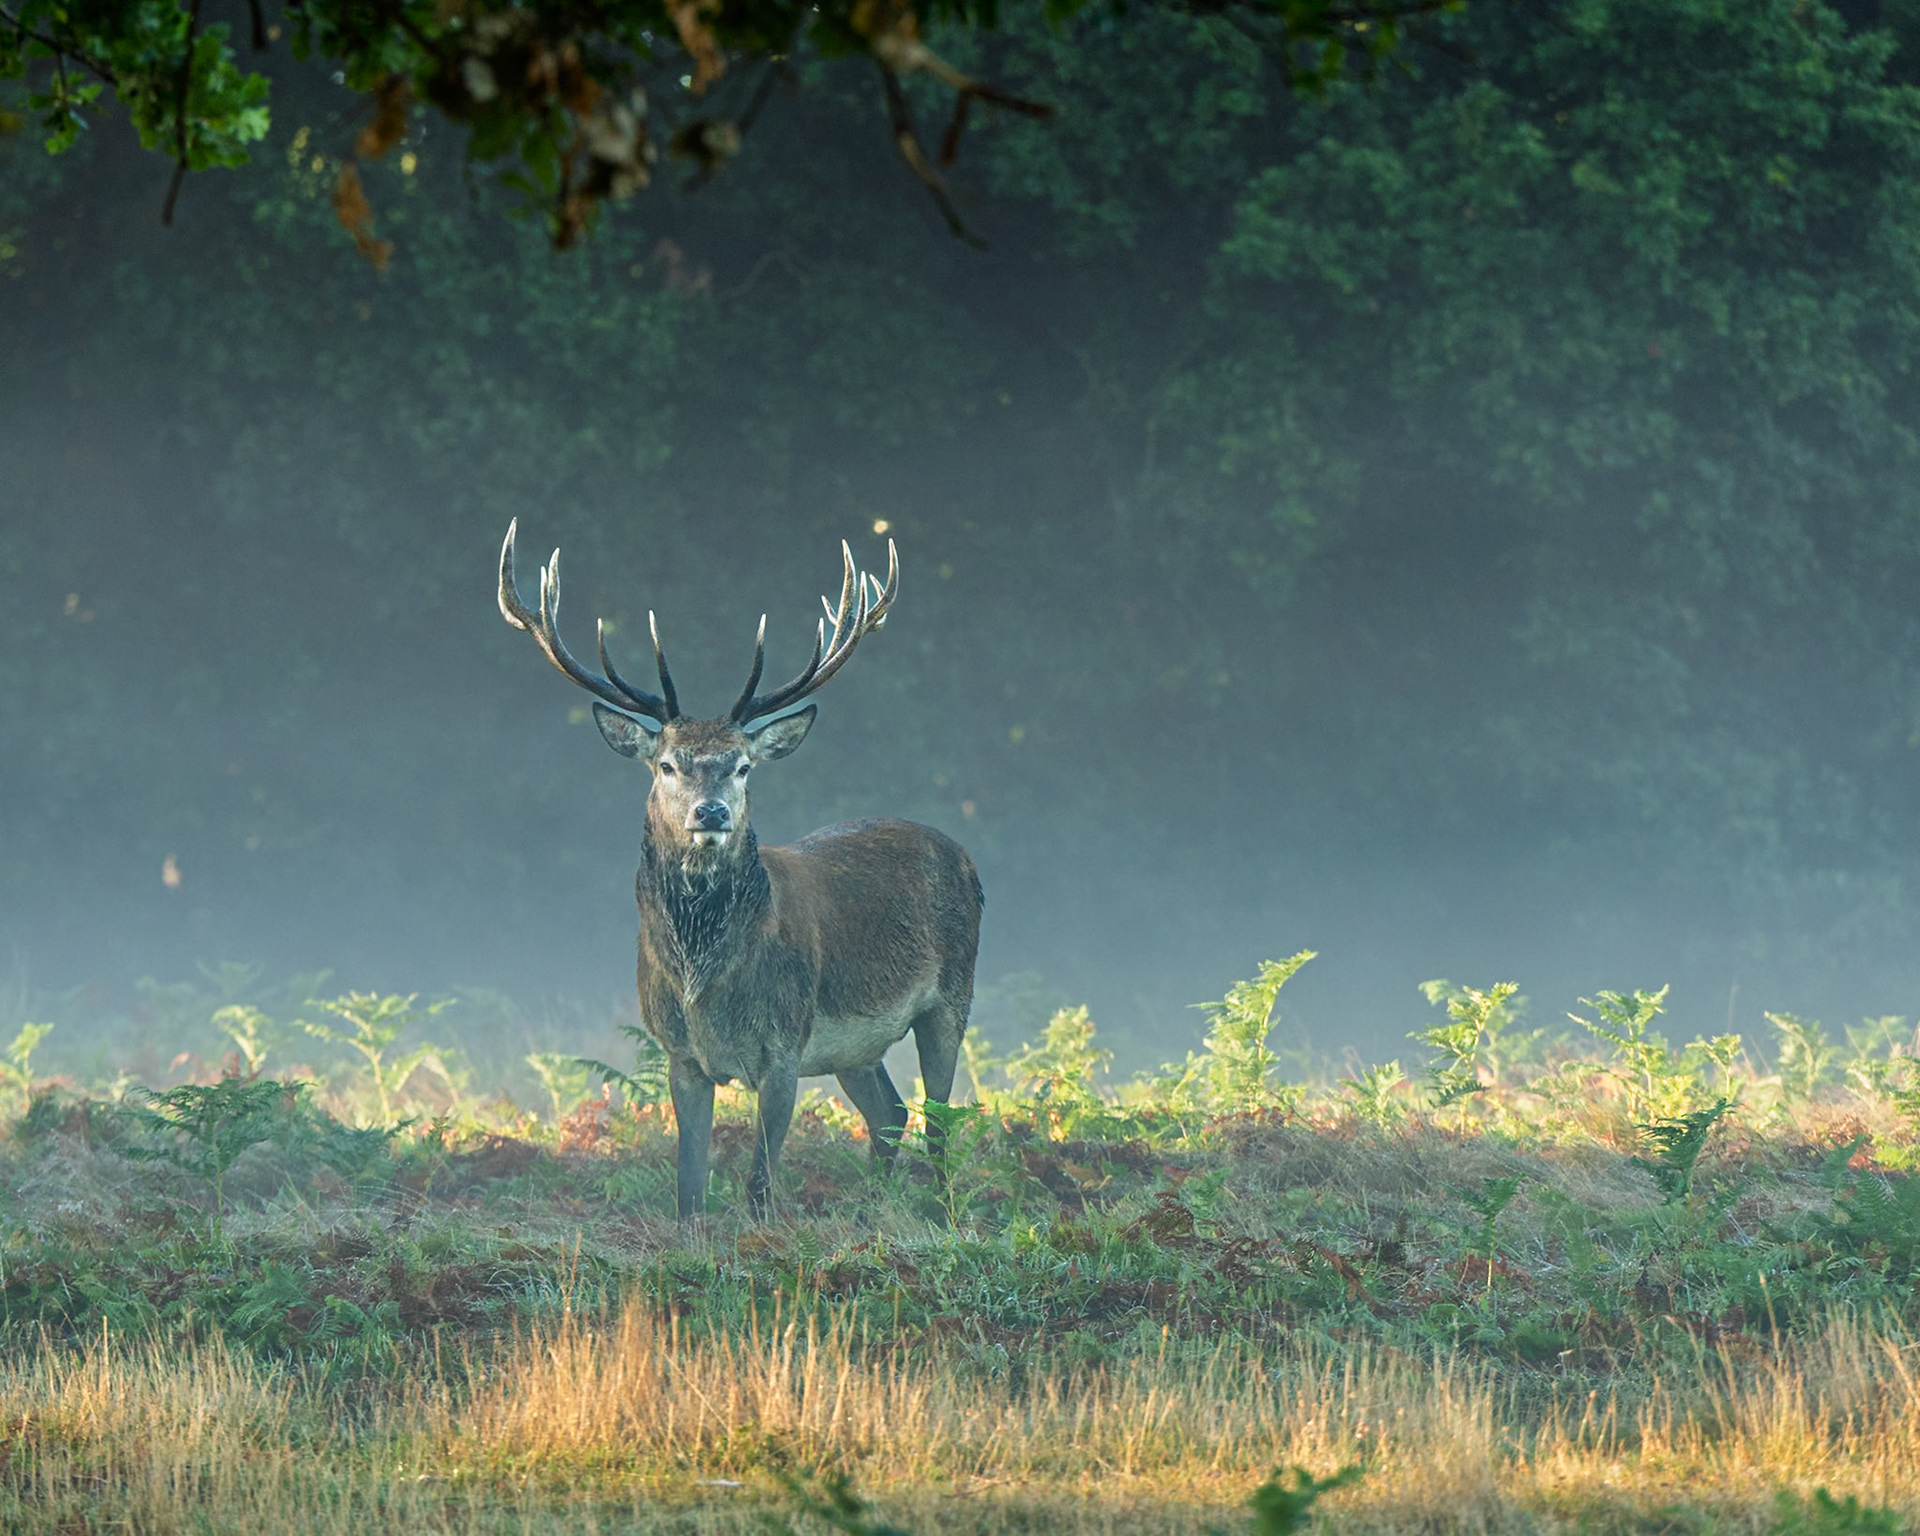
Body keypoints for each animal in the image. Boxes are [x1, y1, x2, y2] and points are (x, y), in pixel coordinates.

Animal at [498, 521, 983, 1219]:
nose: (712, 810)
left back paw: (938, 1212)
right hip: (857, 1048)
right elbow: (689, 1186)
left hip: (952, 995)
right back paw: (873, 1209)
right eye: (667, 764)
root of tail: (964, 856)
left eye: (743, 765)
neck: (705, 985)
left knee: (939, 1121)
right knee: (890, 1114)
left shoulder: (784, 1045)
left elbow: (758, 1184)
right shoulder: (680, 1054)